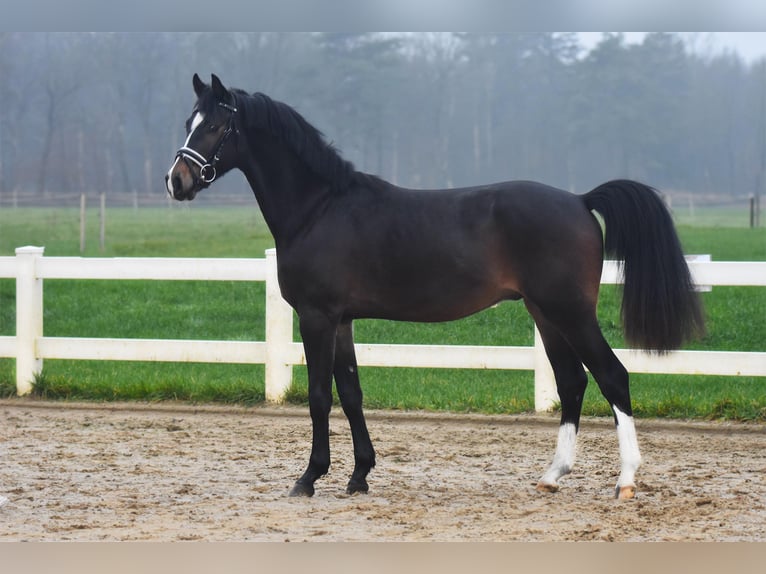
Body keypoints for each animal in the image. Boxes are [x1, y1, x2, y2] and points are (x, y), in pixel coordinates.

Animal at [165, 75, 704, 500]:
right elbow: (351, 391)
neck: (320, 208)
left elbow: (319, 394)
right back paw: (552, 475)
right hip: (546, 315)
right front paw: (359, 476)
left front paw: (309, 478)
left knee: (614, 376)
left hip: (570, 312)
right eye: (188, 120)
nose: (177, 181)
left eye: (214, 126)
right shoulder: (342, 321)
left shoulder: (317, 316)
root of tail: (578, 199)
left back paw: (626, 480)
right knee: (572, 383)